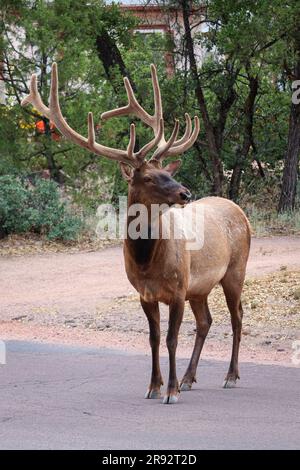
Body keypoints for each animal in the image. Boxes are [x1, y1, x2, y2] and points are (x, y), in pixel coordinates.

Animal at [21, 63, 251, 404]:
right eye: (149, 177)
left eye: (167, 172)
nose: (185, 193)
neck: (146, 261)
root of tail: (240, 211)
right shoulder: (145, 293)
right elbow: (154, 339)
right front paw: (154, 386)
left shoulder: (178, 288)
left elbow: (171, 339)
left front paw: (171, 391)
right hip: (200, 286)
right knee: (206, 321)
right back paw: (190, 378)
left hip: (235, 270)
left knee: (237, 316)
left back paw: (230, 376)